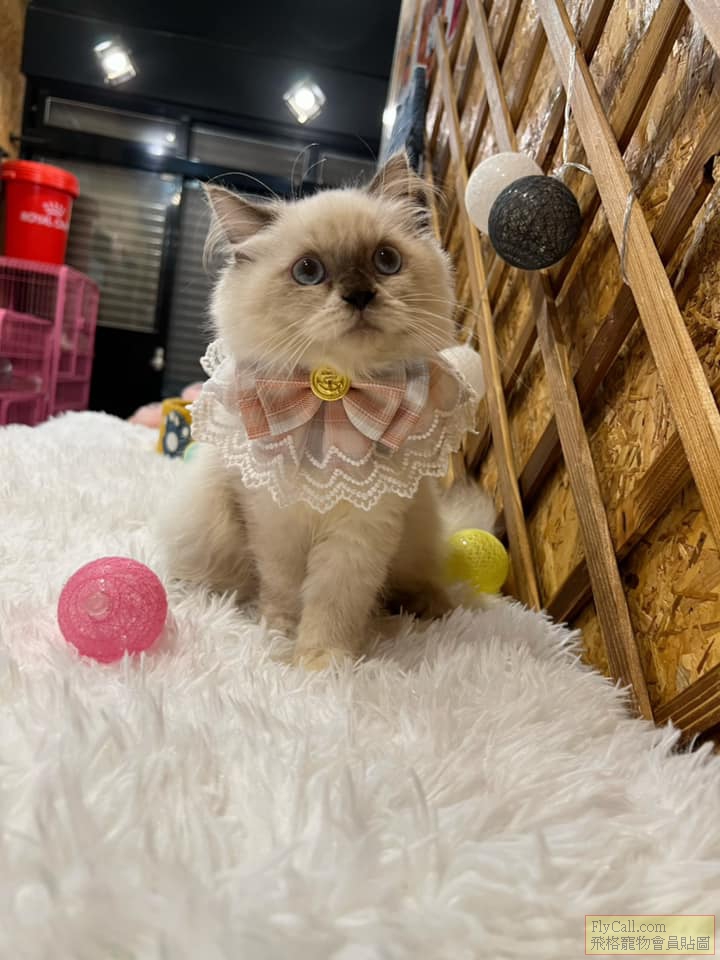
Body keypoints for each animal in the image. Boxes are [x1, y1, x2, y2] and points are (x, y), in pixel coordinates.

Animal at [161, 153, 492, 668]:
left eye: (386, 261)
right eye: (308, 271)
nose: (359, 295)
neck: (332, 402)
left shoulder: (364, 526)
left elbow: (335, 600)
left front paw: (322, 664)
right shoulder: (273, 518)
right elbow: (286, 588)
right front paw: (281, 638)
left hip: (416, 531)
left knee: (422, 580)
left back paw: (428, 611)